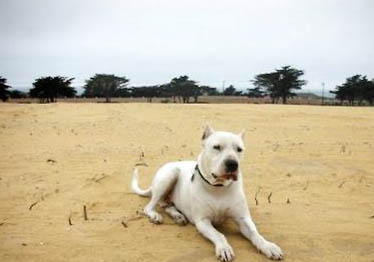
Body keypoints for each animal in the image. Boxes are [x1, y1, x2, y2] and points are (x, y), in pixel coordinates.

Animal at [130, 126, 282, 260]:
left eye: (239, 149)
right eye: (217, 147)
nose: (232, 164)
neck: (218, 188)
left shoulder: (243, 219)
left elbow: (256, 234)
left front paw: (268, 246)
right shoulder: (203, 221)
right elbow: (219, 234)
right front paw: (224, 248)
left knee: (166, 205)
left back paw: (178, 216)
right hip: (169, 175)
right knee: (150, 206)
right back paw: (156, 215)